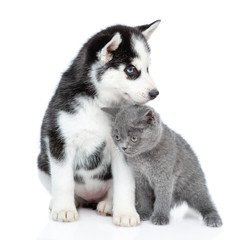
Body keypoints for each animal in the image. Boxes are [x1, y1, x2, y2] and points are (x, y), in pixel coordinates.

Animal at [37, 19, 160, 226]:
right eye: (131, 70)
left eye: (148, 68)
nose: (155, 93)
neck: (98, 104)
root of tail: (91, 199)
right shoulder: (59, 142)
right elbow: (63, 181)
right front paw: (64, 209)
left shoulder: (124, 149)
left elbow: (125, 183)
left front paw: (125, 213)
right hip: (42, 164)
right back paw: (65, 202)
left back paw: (109, 204)